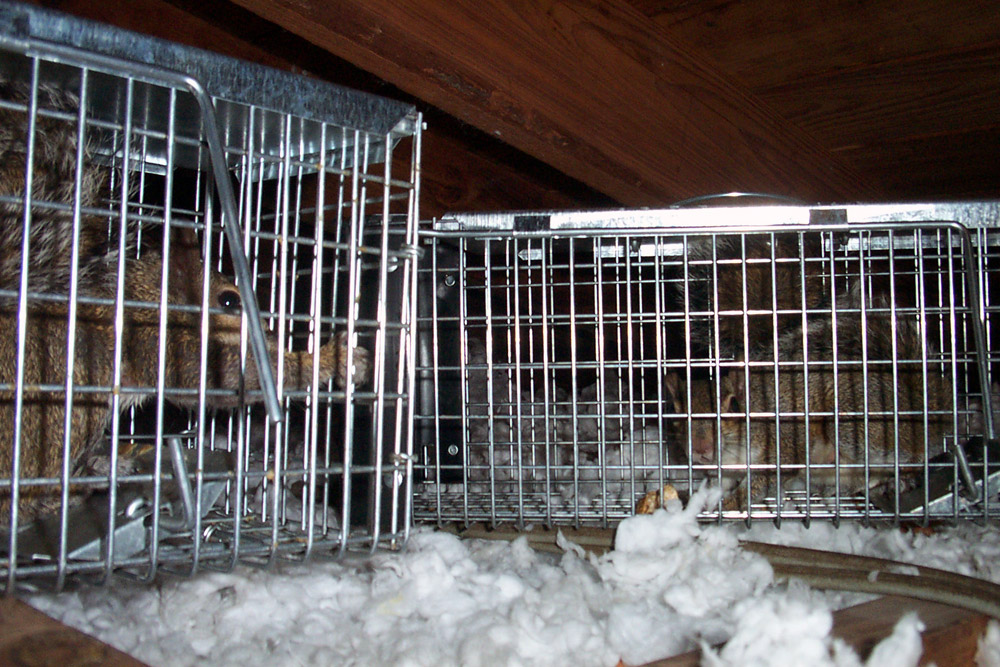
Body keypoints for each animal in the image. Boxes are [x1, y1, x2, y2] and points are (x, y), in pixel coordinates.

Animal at [0, 79, 368, 528]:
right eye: (228, 301)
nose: (267, 338)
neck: (154, 296)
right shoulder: (157, 338)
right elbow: (221, 379)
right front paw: (330, 358)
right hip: (63, 408)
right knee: (31, 496)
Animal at [664, 286, 952, 512]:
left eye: (735, 405)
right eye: (677, 412)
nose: (701, 447)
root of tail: (925, 413)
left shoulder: (783, 448)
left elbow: (758, 486)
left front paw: (731, 505)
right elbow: (718, 485)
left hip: (855, 428)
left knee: (904, 464)